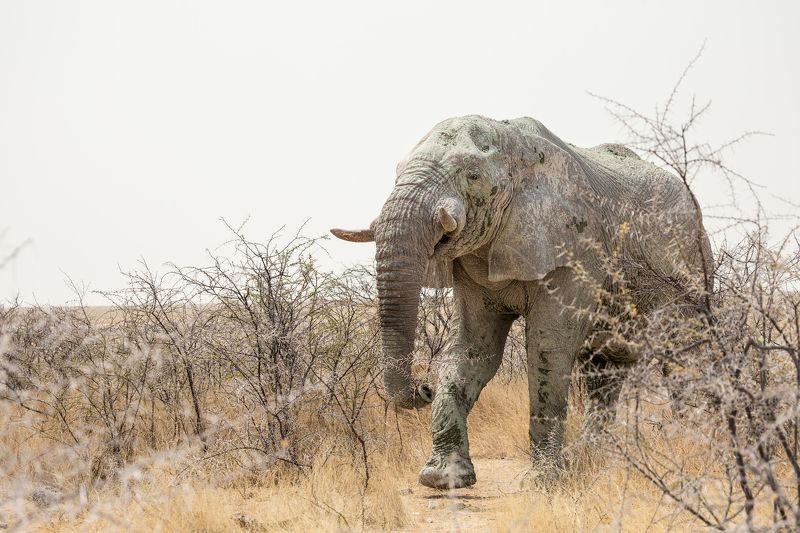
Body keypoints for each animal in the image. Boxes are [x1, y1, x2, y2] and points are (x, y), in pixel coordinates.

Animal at [331, 115, 712, 489]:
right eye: (396, 173)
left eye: (473, 175)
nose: (423, 387)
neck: (515, 145)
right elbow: (473, 349)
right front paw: (442, 479)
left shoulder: (575, 249)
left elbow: (548, 346)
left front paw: (544, 483)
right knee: (604, 371)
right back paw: (595, 458)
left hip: (692, 268)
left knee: (681, 356)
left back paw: (690, 444)